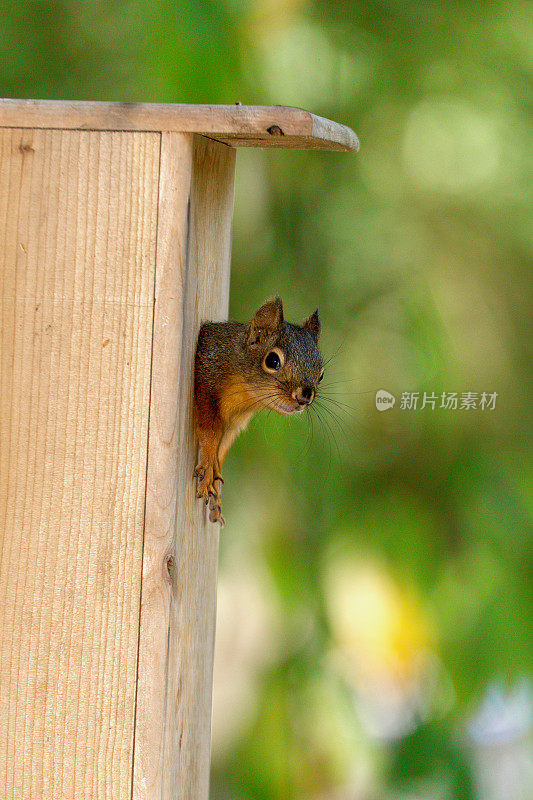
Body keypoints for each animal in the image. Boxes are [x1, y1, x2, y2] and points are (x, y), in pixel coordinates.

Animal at [193, 294, 322, 524]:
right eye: (272, 360)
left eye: (321, 373)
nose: (304, 397)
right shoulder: (207, 381)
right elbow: (210, 433)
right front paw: (207, 469)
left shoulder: (234, 423)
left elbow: (222, 448)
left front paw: (216, 487)